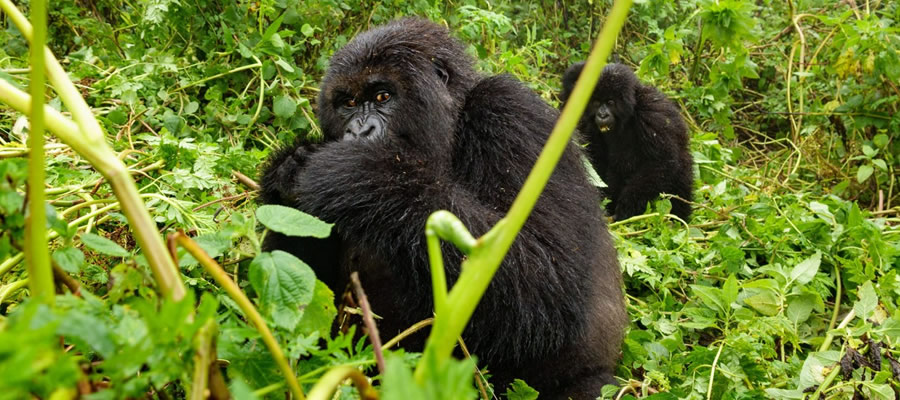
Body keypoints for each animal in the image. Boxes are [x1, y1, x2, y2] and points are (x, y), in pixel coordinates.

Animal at [260, 19, 624, 400]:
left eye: (382, 97)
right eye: (348, 103)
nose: (358, 132)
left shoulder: (511, 113)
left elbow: (552, 278)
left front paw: (359, 172)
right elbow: (309, 313)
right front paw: (288, 172)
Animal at [564, 61, 696, 222]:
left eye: (610, 102)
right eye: (596, 102)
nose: (602, 115)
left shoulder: (651, 113)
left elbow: (661, 162)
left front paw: (627, 207)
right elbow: (596, 161)